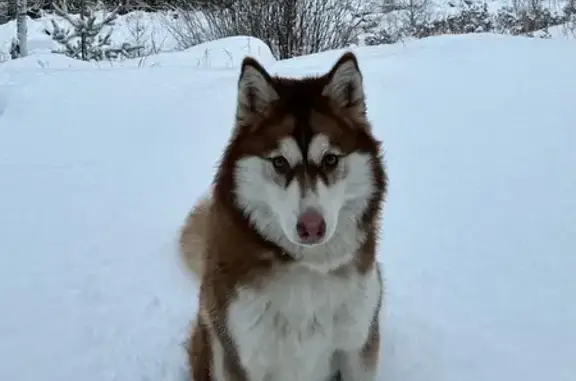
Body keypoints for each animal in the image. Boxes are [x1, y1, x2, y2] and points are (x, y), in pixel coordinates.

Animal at [179, 52, 388, 380]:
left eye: (330, 160)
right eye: (279, 162)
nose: (311, 227)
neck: (306, 269)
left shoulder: (357, 345)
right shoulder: (242, 358)